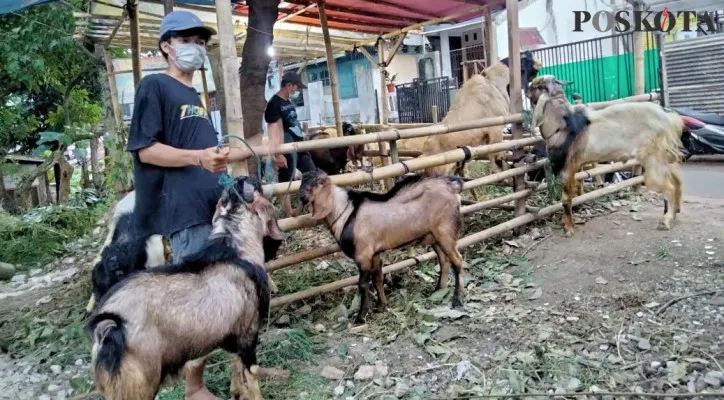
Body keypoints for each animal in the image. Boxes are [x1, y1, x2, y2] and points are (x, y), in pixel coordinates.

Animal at [84, 177, 286, 400]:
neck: (235, 251)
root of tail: (108, 325)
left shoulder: (229, 335)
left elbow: (235, 365)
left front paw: (236, 392)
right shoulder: (248, 332)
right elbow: (252, 373)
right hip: (137, 386)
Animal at [298, 169, 464, 322]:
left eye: (318, 182)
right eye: (302, 181)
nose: (301, 196)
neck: (346, 212)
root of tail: (451, 187)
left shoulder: (363, 255)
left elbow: (363, 284)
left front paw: (361, 316)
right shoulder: (375, 254)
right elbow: (377, 279)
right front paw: (382, 306)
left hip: (445, 232)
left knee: (458, 260)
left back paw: (457, 299)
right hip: (433, 237)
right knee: (444, 261)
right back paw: (438, 290)